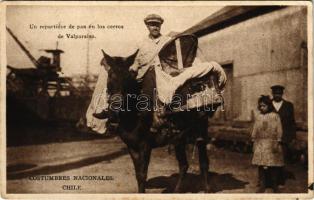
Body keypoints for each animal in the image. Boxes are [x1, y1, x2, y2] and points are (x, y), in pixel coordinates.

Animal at [100, 49, 221, 193]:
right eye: (110, 75)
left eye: (128, 77)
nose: (115, 110)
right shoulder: (131, 146)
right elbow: (138, 175)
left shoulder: (145, 145)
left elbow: (142, 174)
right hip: (178, 137)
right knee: (183, 165)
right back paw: (176, 191)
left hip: (200, 132)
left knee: (203, 163)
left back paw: (207, 189)